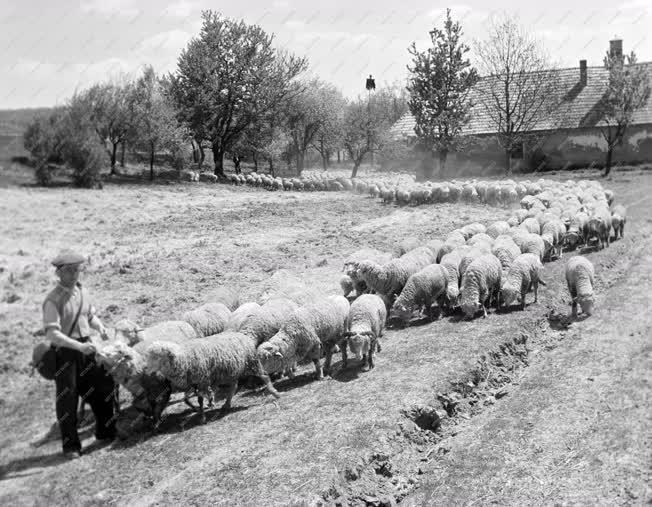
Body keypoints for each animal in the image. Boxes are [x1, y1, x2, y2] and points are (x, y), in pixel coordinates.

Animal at [146, 332, 282, 418]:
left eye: (157, 357)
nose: (146, 370)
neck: (183, 358)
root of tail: (243, 336)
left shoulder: (202, 380)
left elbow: (200, 399)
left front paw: (203, 415)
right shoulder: (195, 383)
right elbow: (189, 399)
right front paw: (203, 408)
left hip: (251, 363)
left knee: (264, 376)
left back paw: (275, 393)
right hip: (230, 372)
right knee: (233, 387)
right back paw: (226, 404)